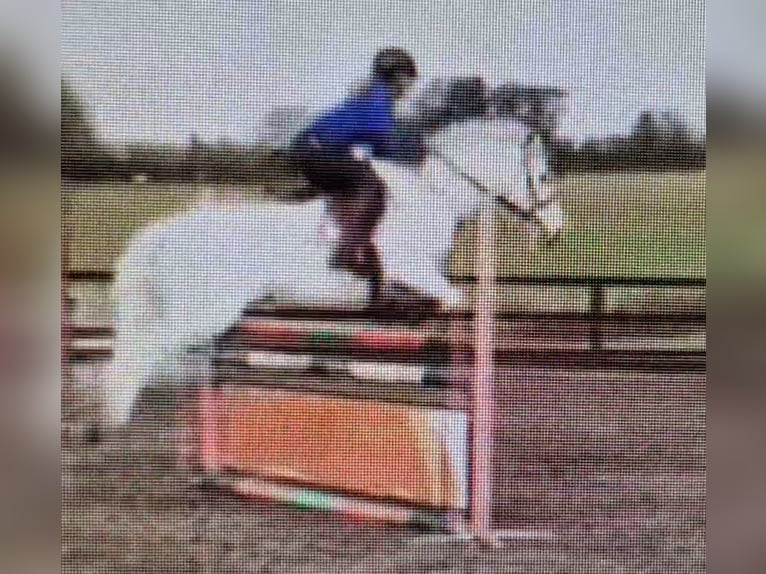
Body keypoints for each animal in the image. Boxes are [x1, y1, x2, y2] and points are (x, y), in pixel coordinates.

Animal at [102, 116, 568, 432]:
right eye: (543, 175)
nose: (556, 229)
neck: (436, 196)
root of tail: (171, 230)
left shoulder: (414, 282)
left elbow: (428, 310)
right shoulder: (411, 270)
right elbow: (454, 299)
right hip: (205, 311)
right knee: (149, 348)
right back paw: (116, 410)